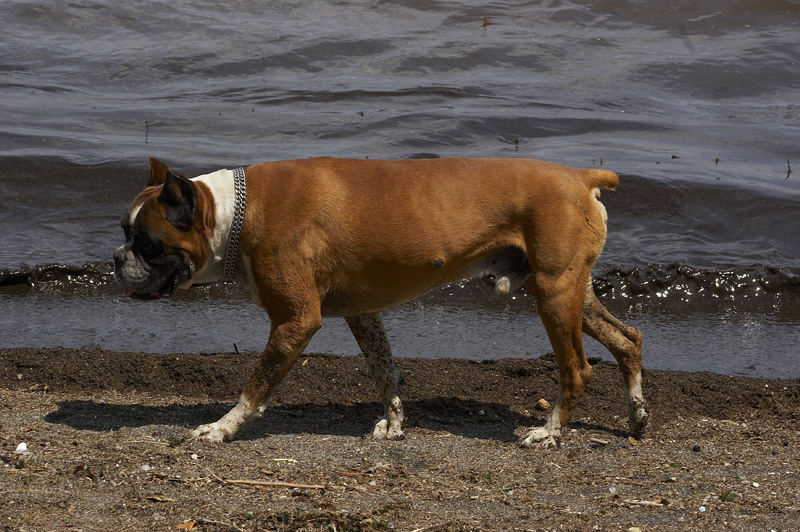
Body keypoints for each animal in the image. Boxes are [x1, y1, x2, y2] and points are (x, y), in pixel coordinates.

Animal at [114, 156, 648, 446]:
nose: (116, 258)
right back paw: (638, 416)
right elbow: (385, 370)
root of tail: (580, 176)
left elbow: (255, 387)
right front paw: (393, 423)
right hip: (566, 291)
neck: (237, 212)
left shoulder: (295, 321)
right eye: (125, 232)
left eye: (146, 243)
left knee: (578, 369)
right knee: (628, 338)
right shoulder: (362, 313)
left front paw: (221, 429)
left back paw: (549, 433)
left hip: (556, 295)